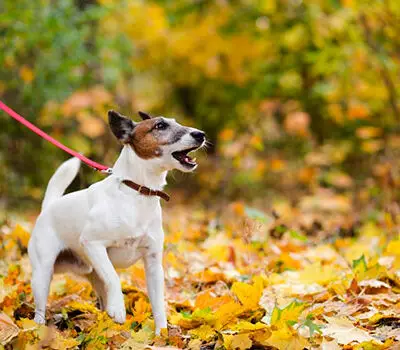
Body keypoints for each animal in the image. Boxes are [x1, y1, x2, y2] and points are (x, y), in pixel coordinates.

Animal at [28, 109, 205, 334]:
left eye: (176, 122)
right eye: (160, 126)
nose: (201, 134)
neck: (138, 192)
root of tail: (49, 206)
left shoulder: (153, 264)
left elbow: (158, 304)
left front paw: (162, 335)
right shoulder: (92, 243)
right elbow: (114, 277)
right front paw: (119, 309)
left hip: (92, 273)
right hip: (43, 273)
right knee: (40, 307)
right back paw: (38, 327)